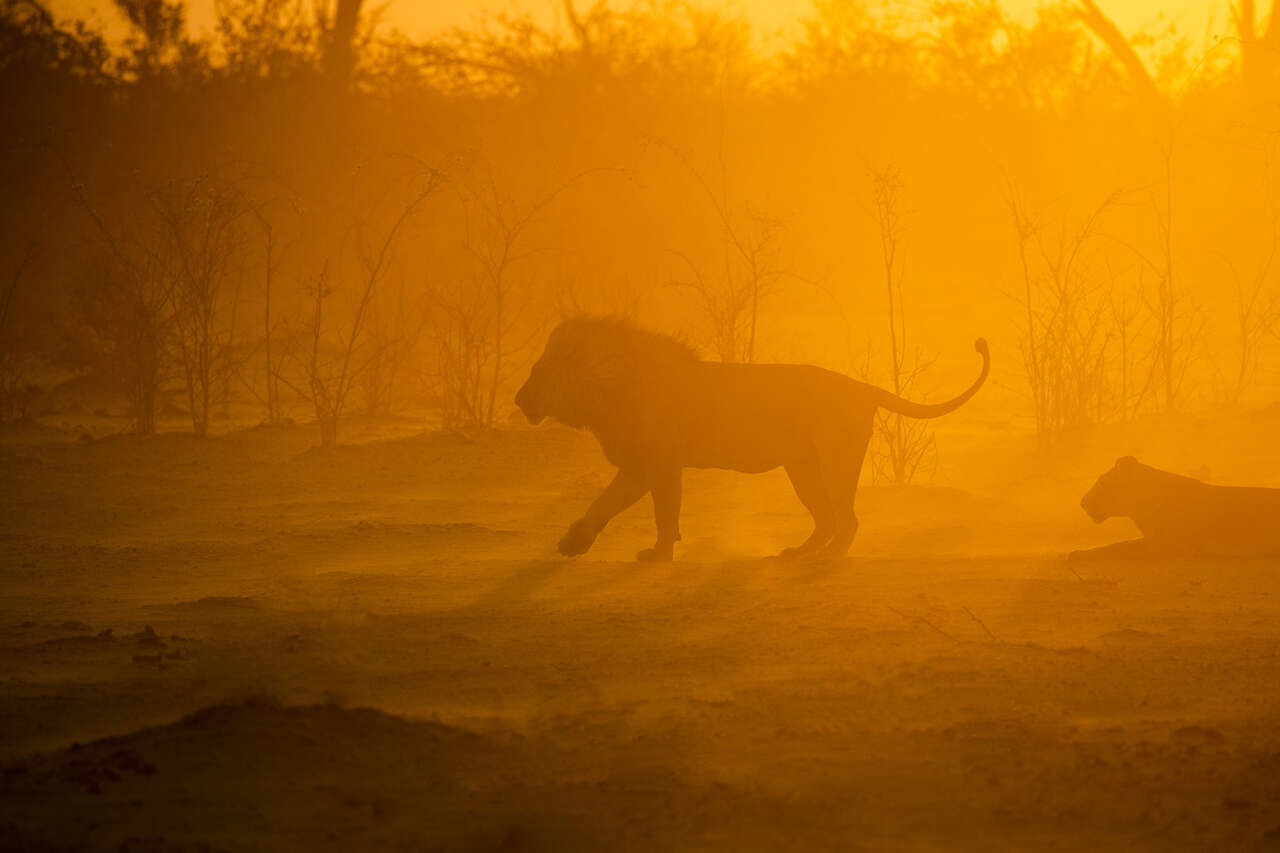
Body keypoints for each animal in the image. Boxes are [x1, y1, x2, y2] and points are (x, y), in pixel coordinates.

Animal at [509, 315, 988, 560]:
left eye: (539, 371)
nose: (517, 399)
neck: (607, 388)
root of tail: (862, 387)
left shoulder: (651, 461)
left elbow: (619, 505)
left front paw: (587, 545)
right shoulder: (657, 465)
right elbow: (654, 509)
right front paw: (660, 547)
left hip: (835, 463)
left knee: (847, 520)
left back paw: (827, 558)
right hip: (803, 469)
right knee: (827, 518)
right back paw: (800, 552)